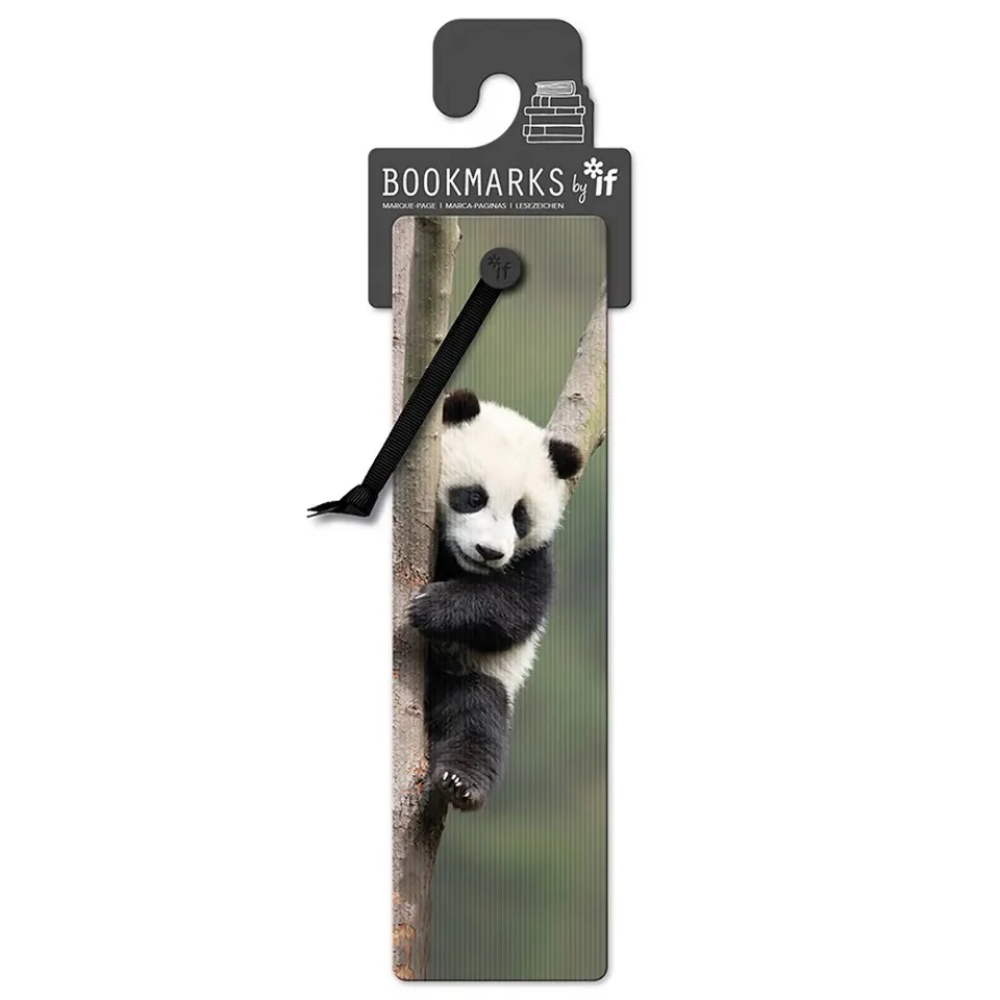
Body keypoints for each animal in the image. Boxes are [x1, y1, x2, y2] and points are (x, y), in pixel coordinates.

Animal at [409, 388, 583, 811]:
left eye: (521, 515)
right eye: (474, 497)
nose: (489, 552)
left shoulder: (534, 556)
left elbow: (514, 608)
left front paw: (430, 607)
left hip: (474, 674)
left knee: (476, 714)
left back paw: (460, 782)